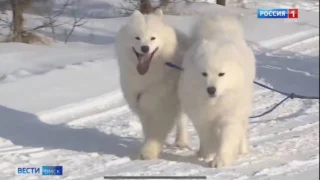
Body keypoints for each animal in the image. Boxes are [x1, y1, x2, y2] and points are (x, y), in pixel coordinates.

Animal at [115, 9, 190, 160]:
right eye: (137, 38)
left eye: (153, 38)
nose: (145, 48)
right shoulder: (142, 106)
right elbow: (148, 131)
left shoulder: (163, 105)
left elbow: (156, 132)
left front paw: (148, 152)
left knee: (182, 120)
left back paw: (182, 142)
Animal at [179, 16, 256, 167]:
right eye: (204, 74)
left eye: (221, 74)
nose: (211, 89)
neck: (215, 103)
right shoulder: (201, 117)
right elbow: (207, 136)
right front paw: (209, 153)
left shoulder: (230, 115)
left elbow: (227, 139)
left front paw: (219, 161)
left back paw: (242, 150)